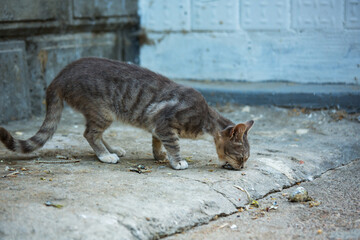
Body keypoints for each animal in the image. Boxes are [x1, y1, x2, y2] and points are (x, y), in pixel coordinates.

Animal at [0, 57, 253, 171]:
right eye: (242, 157)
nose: (241, 168)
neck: (205, 119)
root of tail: (60, 75)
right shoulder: (165, 121)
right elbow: (174, 143)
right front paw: (177, 160)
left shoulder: (156, 122)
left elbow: (157, 141)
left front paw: (159, 155)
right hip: (102, 110)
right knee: (90, 134)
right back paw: (106, 155)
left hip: (101, 113)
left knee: (95, 133)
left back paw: (113, 149)